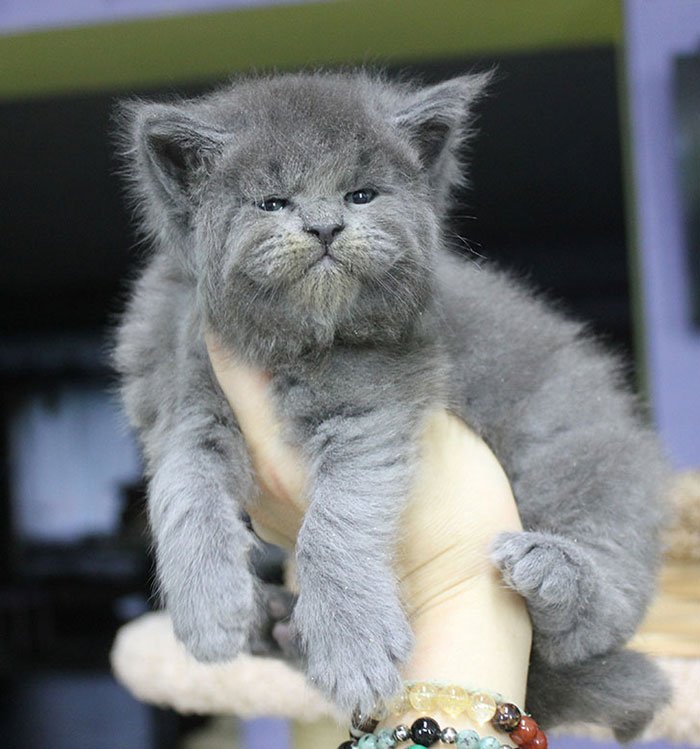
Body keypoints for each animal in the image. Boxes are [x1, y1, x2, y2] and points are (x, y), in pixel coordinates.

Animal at [116, 73, 672, 740]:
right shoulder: (181, 399)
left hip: (581, 451)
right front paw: (208, 608)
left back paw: (552, 568)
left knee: (600, 605)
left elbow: (334, 523)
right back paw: (274, 623)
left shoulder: (371, 404)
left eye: (361, 195)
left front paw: (350, 646)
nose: (325, 226)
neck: (291, 342)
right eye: (272, 203)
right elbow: (180, 485)